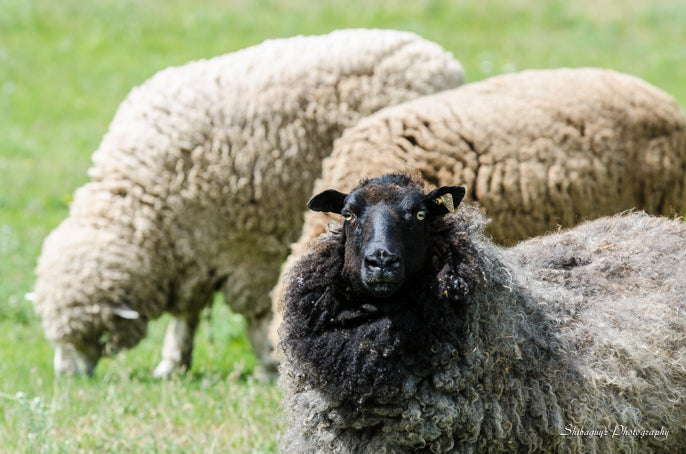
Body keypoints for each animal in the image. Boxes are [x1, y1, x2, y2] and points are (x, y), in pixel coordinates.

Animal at [32, 29, 465, 378]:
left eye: (88, 335)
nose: (65, 378)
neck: (145, 204)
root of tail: (438, 56)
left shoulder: (247, 247)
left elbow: (254, 311)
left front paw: (270, 363)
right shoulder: (191, 249)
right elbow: (186, 315)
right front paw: (172, 364)